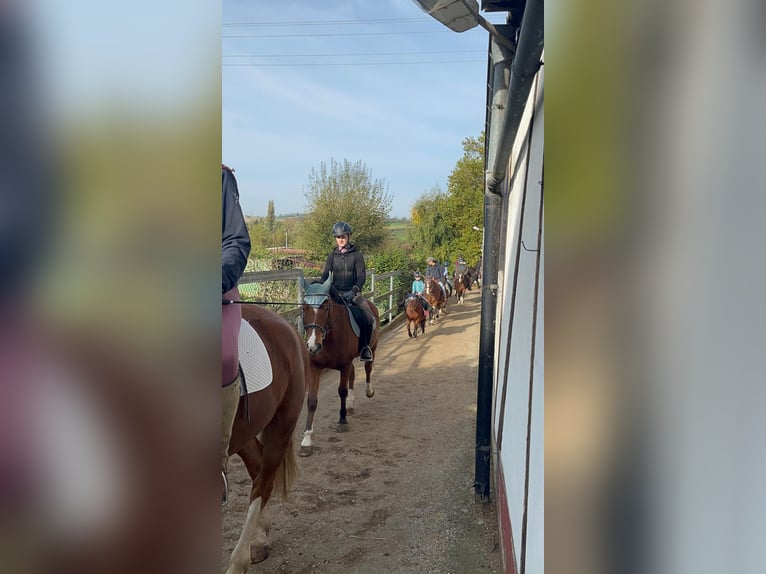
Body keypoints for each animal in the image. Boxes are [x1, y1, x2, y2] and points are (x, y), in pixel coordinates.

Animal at [302, 272, 382, 456]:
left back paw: (368, 391)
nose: (312, 346)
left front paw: (342, 421)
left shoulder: (344, 365)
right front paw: (307, 439)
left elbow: (342, 391)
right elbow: (311, 400)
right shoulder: (314, 368)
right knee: (353, 374)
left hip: (372, 349)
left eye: (325, 307)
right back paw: (351, 405)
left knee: (367, 369)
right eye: (304, 308)